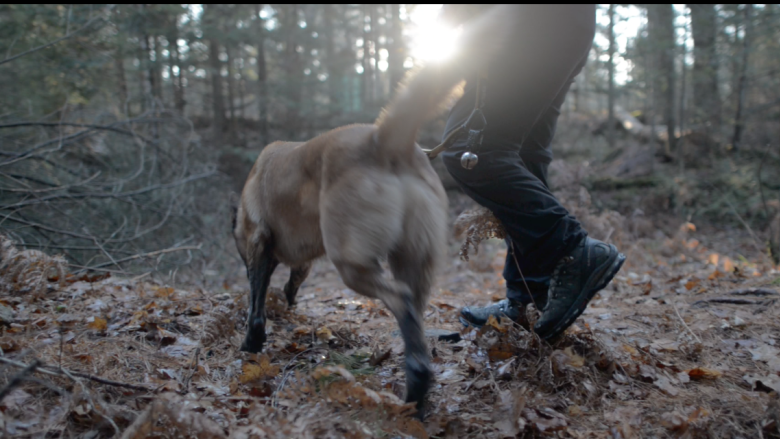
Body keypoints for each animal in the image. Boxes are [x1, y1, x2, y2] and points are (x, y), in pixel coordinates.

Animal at [235, 5, 520, 418]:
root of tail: (383, 138)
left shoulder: (259, 244)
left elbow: (255, 304)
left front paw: (251, 344)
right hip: (415, 258)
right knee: (414, 313)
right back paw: (418, 391)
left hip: (351, 262)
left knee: (401, 300)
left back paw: (416, 383)